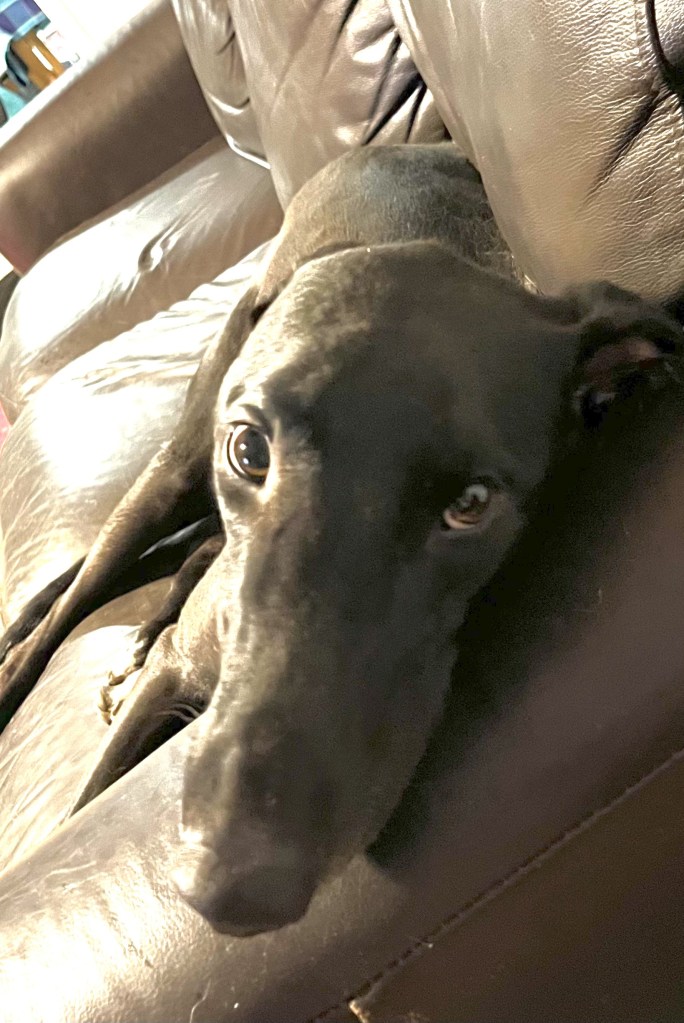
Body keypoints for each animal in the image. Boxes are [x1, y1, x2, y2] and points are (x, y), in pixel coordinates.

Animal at [0, 144, 680, 936]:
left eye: (472, 503)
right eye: (249, 450)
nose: (232, 888)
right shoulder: (177, 664)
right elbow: (88, 791)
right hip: (173, 469)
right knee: (72, 598)